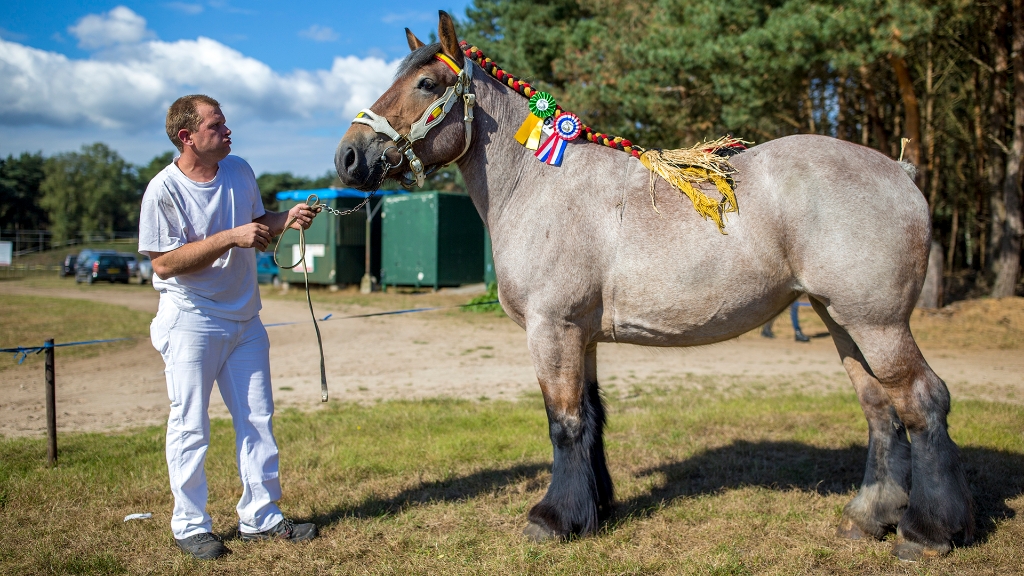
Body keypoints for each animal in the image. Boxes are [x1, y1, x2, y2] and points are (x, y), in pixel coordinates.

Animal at [335, 11, 974, 557]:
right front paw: (594, 511)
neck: (540, 186)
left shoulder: (551, 329)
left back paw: (926, 531)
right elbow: (591, 418)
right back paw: (869, 517)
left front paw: (551, 520)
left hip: (877, 323)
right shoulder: (582, 336)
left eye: (426, 84)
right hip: (840, 320)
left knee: (924, 401)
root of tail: (900, 170)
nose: (348, 157)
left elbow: (563, 423)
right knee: (881, 411)